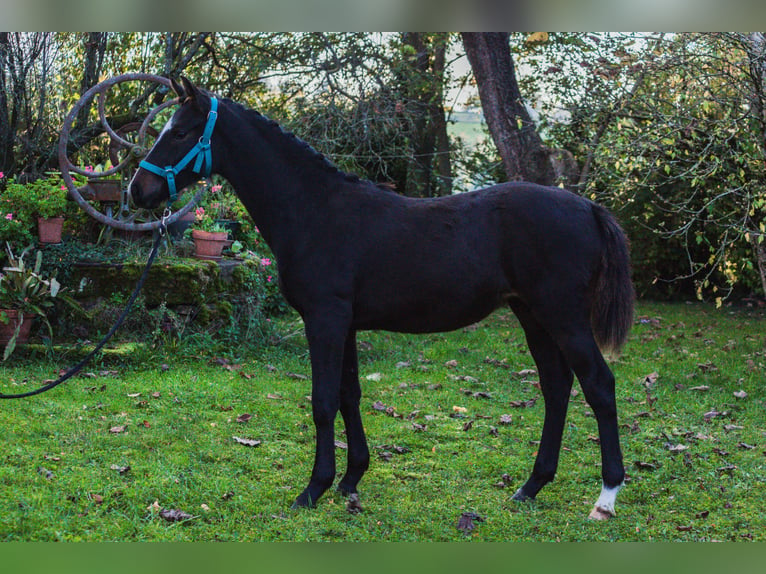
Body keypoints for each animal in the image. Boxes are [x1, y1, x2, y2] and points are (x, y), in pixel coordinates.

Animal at [132, 77, 636, 520]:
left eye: (180, 132)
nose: (139, 190)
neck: (314, 210)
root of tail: (590, 208)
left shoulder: (325, 319)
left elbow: (322, 402)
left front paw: (312, 490)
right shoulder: (346, 324)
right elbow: (349, 395)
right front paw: (350, 479)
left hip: (564, 317)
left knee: (599, 385)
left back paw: (606, 497)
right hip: (532, 315)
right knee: (556, 386)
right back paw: (531, 486)